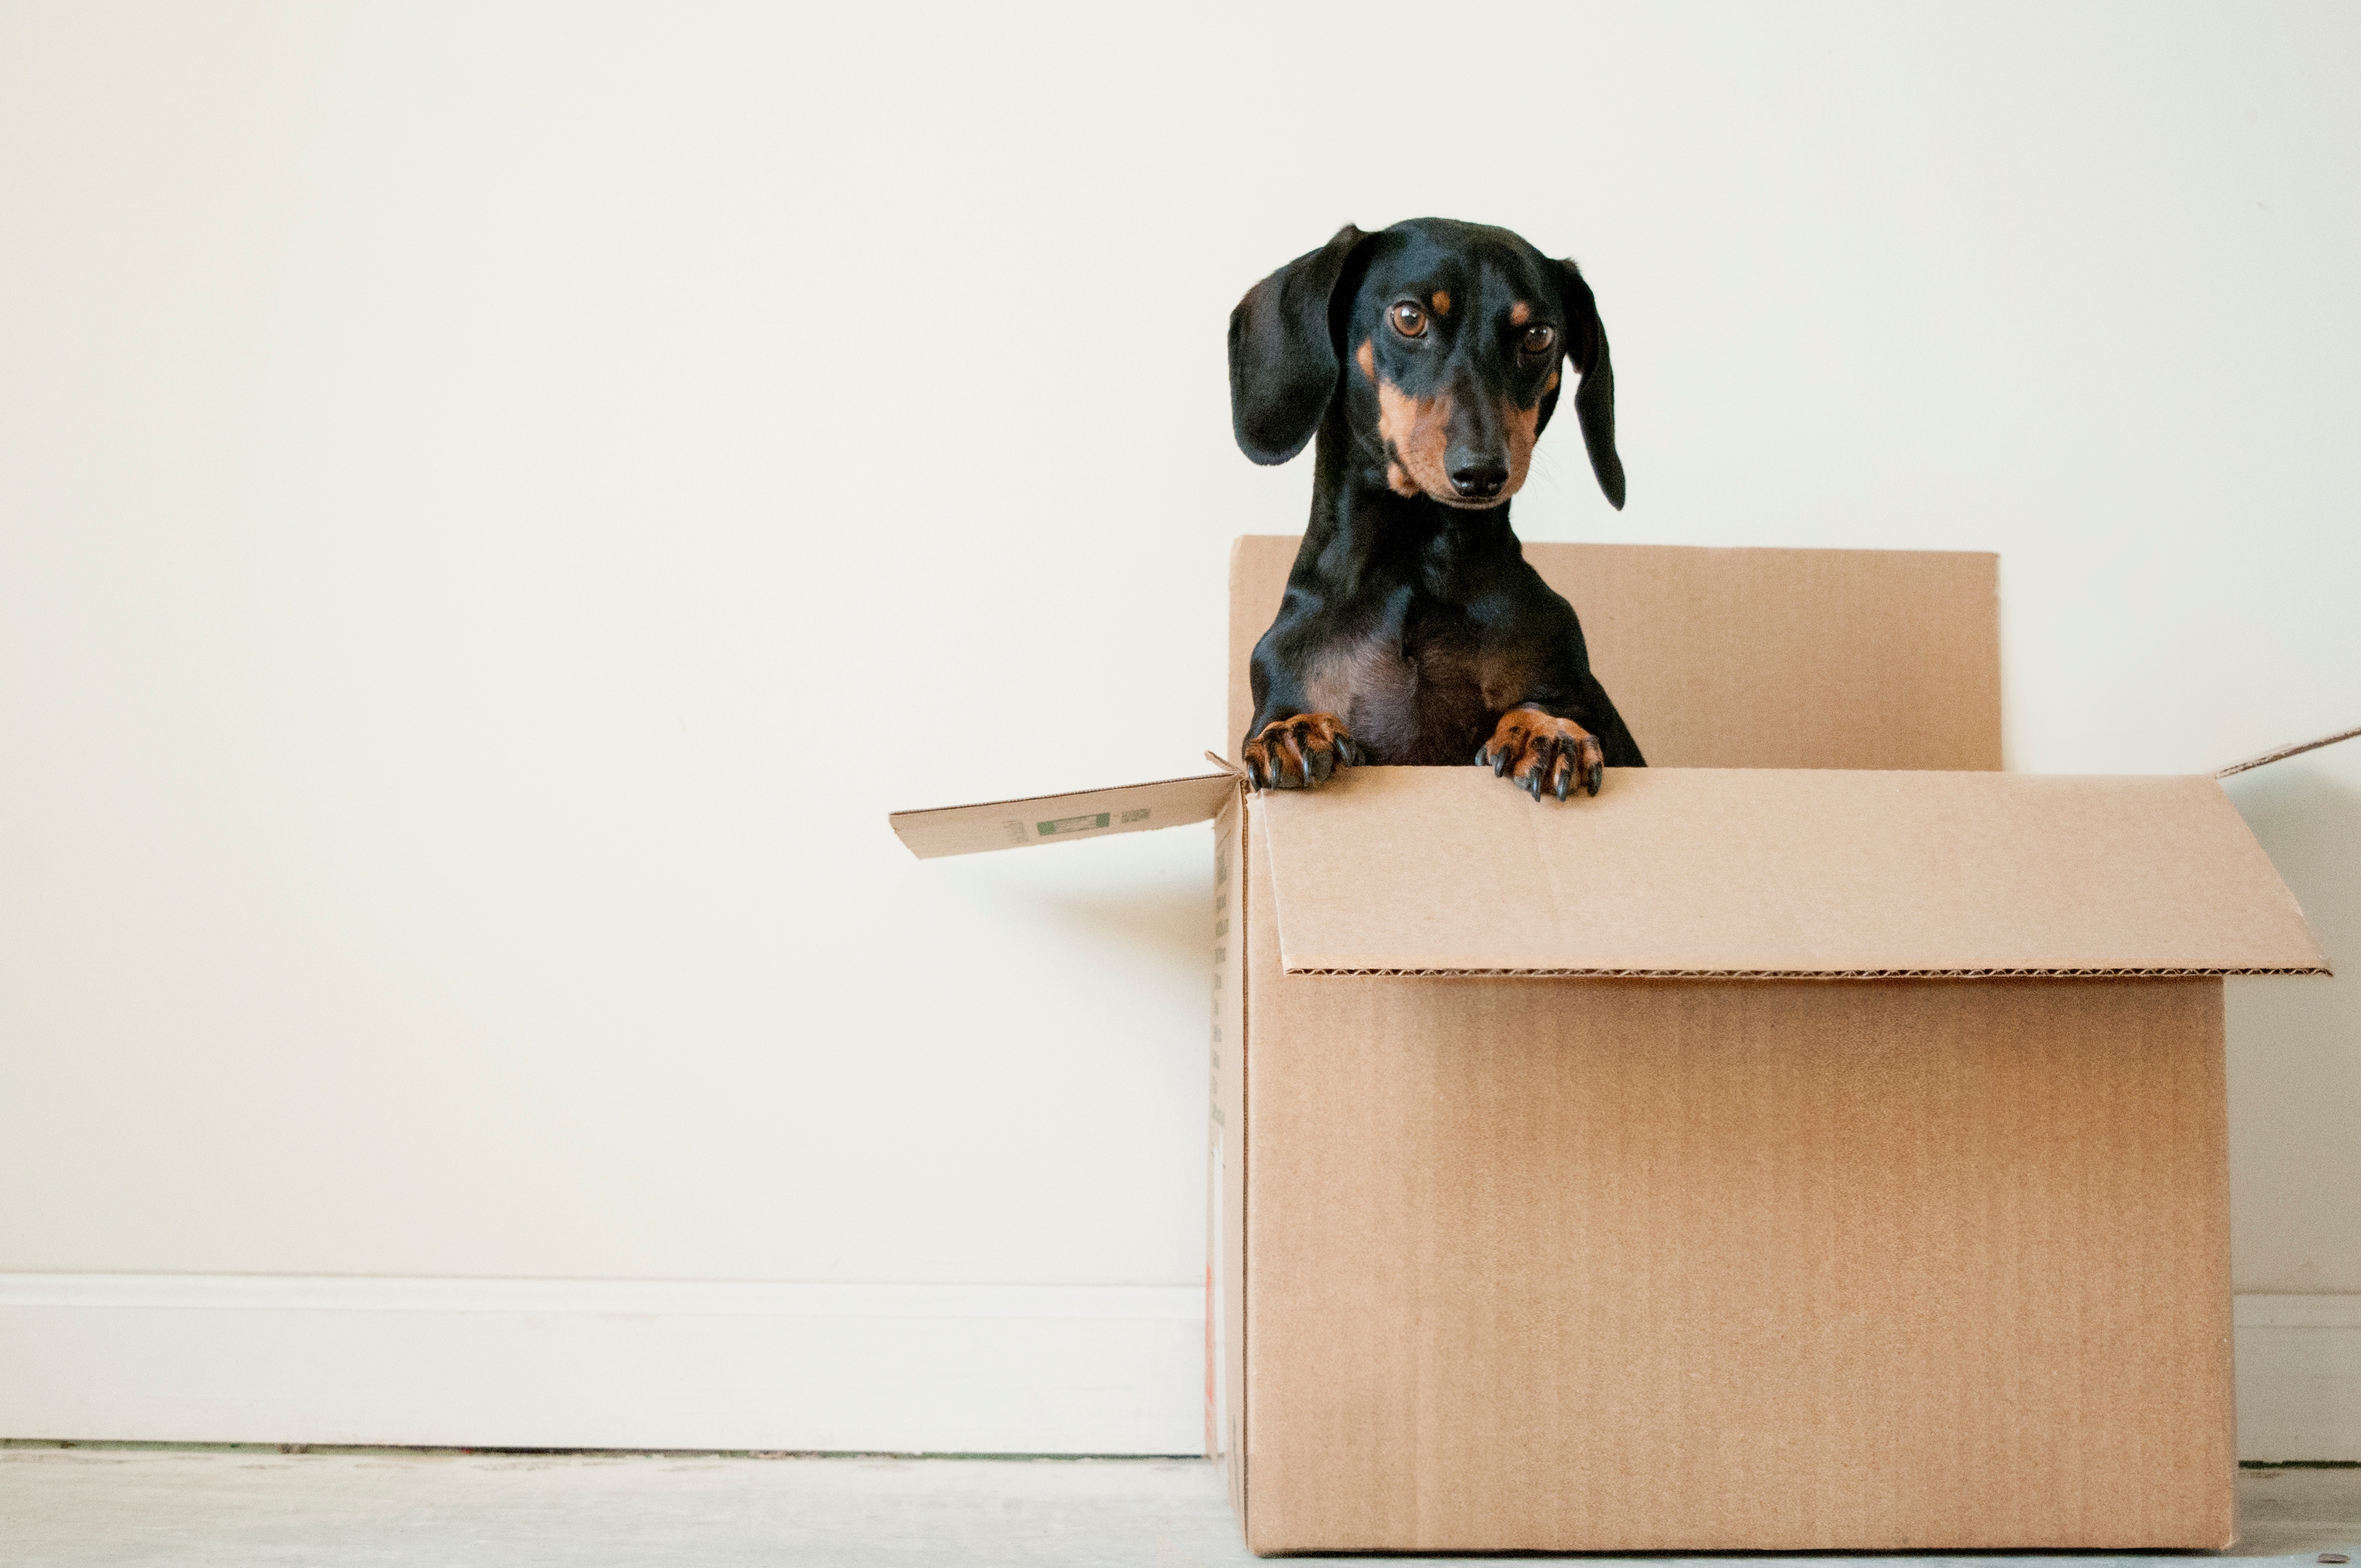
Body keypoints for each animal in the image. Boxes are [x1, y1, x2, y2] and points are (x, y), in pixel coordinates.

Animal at [1237, 218, 1643, 803]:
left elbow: (1549, 705)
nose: (1482, 472)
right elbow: (1285, 716)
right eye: (1409, 318)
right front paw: (1293, 730)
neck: (1416, 564)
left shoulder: (1573, 683)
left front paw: (1545, 731)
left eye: (1539, 336)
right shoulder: (1283, 676)